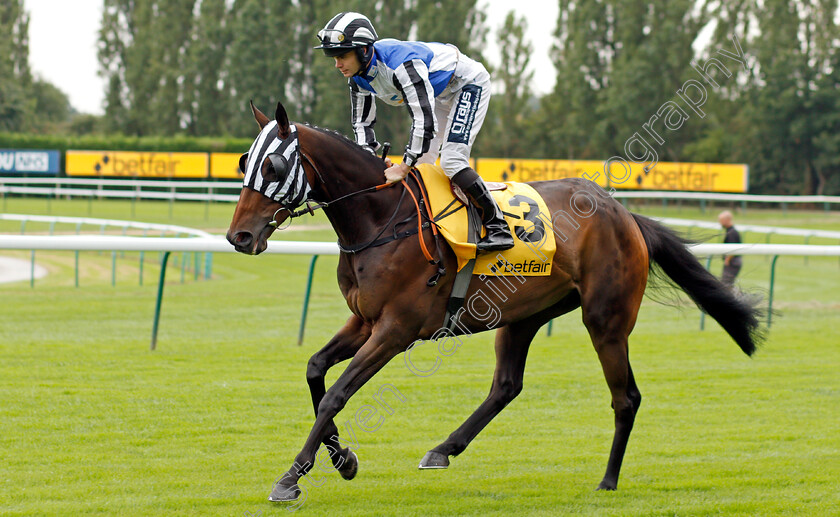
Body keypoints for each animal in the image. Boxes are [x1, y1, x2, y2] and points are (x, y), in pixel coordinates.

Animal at [226, 103, 764, 502]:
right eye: (243, 163)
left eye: (273, 165)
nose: (239, 236)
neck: (382, 218)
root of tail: (625, 214)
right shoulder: (364, 320)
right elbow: (316, 370)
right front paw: (343, 459)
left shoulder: (397, 329)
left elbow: (336, 393)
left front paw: (292, 477)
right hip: (522, 316)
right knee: (506, 385)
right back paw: (443, 449)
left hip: (605, 319)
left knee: (625, 397)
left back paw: (608, 480)